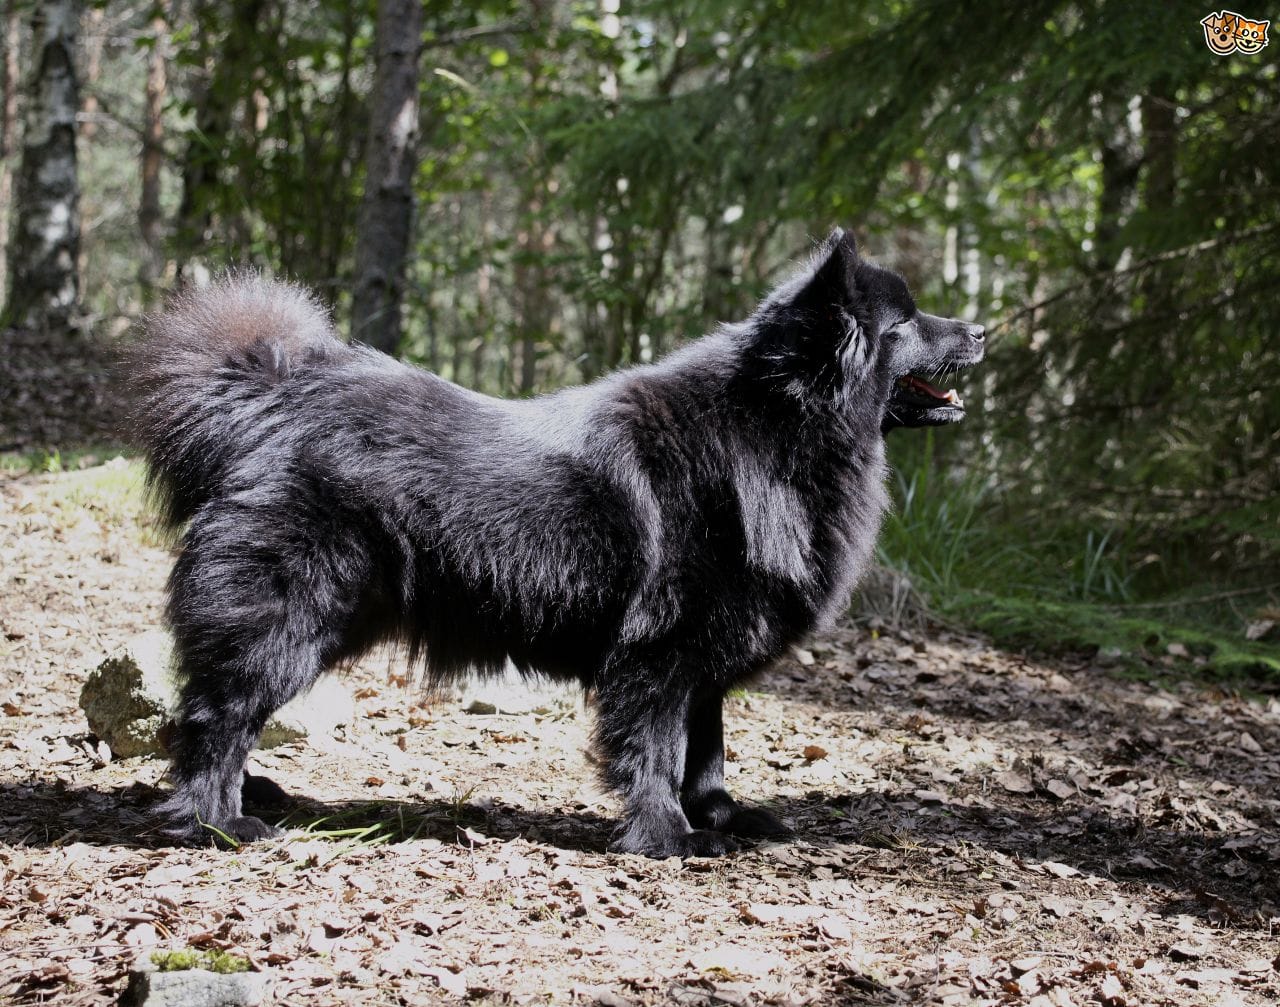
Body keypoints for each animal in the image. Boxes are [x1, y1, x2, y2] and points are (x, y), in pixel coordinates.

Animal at [129, 229, 983, 859]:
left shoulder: (706, 659)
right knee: (218, 713)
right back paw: (217, 821)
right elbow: (656, 748)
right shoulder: (658, 654)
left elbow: (707, 747)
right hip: (288, 613)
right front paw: (667, 837)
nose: (980, 327)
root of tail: (269, 394)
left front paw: (724, 817)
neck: (773, 430)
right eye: (906, 322)